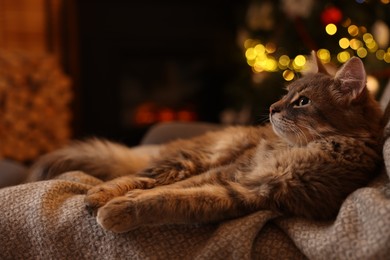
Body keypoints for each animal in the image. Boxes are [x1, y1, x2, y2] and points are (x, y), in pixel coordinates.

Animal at [28, 53, 384, 233]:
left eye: (303, 102)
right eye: (287, 94)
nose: (271, 108)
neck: (301, 149)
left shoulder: (250, 193)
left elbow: (169, 200)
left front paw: (123, 209)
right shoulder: (231, 171)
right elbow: (163, 191)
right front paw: (118, 203)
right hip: (194, 159)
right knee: (140, 175)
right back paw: (98, 194)